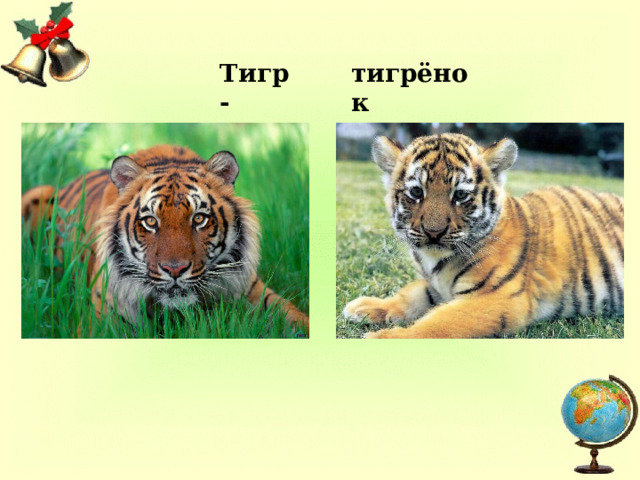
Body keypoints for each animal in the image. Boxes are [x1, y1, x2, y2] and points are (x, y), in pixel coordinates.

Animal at [343, 133, 624, 338]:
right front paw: (366, 307)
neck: (436, 262)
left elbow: (437, 324)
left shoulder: (495, 297)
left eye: (460, 195)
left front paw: (385, 338)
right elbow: (411, 294)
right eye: (416, 192)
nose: (434, 232)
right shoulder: (435, 286)